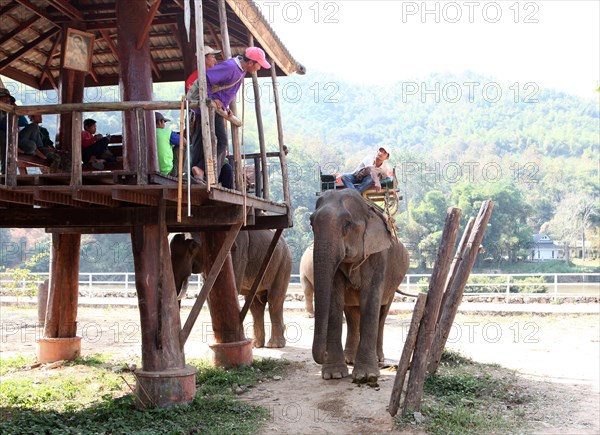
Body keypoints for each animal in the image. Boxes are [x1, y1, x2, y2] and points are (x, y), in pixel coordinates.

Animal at [310, 190, 412, 382]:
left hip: (394, 283)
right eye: (311, 223)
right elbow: (334, 301)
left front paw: (366, 375)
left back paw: (379, 359)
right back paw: (350, 358)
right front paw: (334, 374)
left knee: (382, 312)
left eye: (347, 224)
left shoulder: (378, 255)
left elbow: (370, 302)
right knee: (352, 314)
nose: (323, 354)